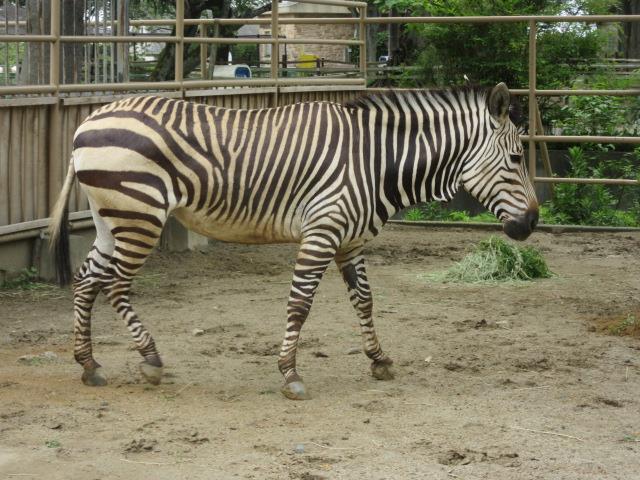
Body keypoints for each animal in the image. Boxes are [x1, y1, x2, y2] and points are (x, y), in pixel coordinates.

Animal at [50, 84, 536, 400]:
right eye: (516, 159)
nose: (532, 221)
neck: (375, 160)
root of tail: (87, 122)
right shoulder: (322, 232)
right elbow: (299, 304)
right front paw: (290, 374)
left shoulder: (350, 241)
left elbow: (365, 301)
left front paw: (379, 360)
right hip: (140, 215)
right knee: (115, 285)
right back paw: (150, 360)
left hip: (112, 218)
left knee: (86, 280)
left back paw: (89, 365)